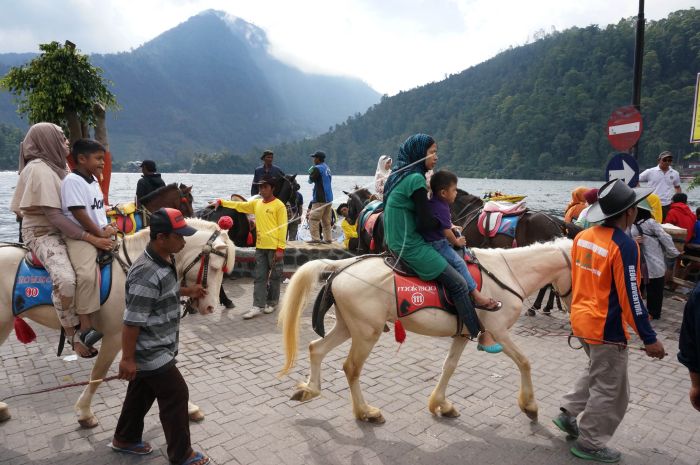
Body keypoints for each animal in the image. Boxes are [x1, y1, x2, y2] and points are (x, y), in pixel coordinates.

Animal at [0, 219, 235, 426]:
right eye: (215, 268)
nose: (211, 307)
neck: (135, 266)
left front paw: (188, 407)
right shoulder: (116, 335)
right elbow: (99, 374)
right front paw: (84, 412)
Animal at [278, 237, 576, 422]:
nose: (574, 309)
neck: (509, 272)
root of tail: (344, 266)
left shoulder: (464, 332)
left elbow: (449, 367)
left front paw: (440, 404)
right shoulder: (499, 331)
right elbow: (524, 362)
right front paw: (529, 405)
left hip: (348, 326)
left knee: (316, 349)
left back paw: (309, 389)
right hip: (365, 333)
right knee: (351, 368)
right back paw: (366, 412)